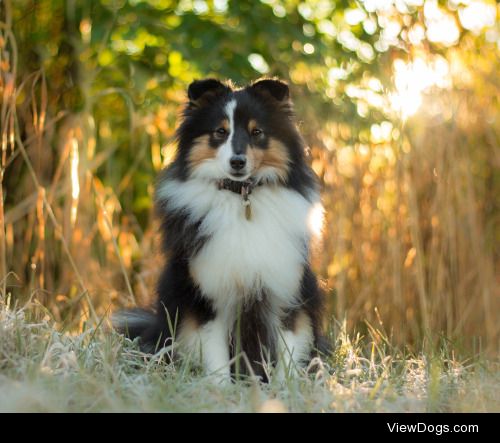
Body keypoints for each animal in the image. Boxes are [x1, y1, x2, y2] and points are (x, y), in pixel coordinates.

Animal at [112, 78, 328, 384]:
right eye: (220, 132)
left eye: (257, 132)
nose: (237, 162)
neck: (241, 196)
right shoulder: (207, 293)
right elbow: (215, 353)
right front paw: (221, 388)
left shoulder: (286, 290)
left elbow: (288, 349)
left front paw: (285, 388)